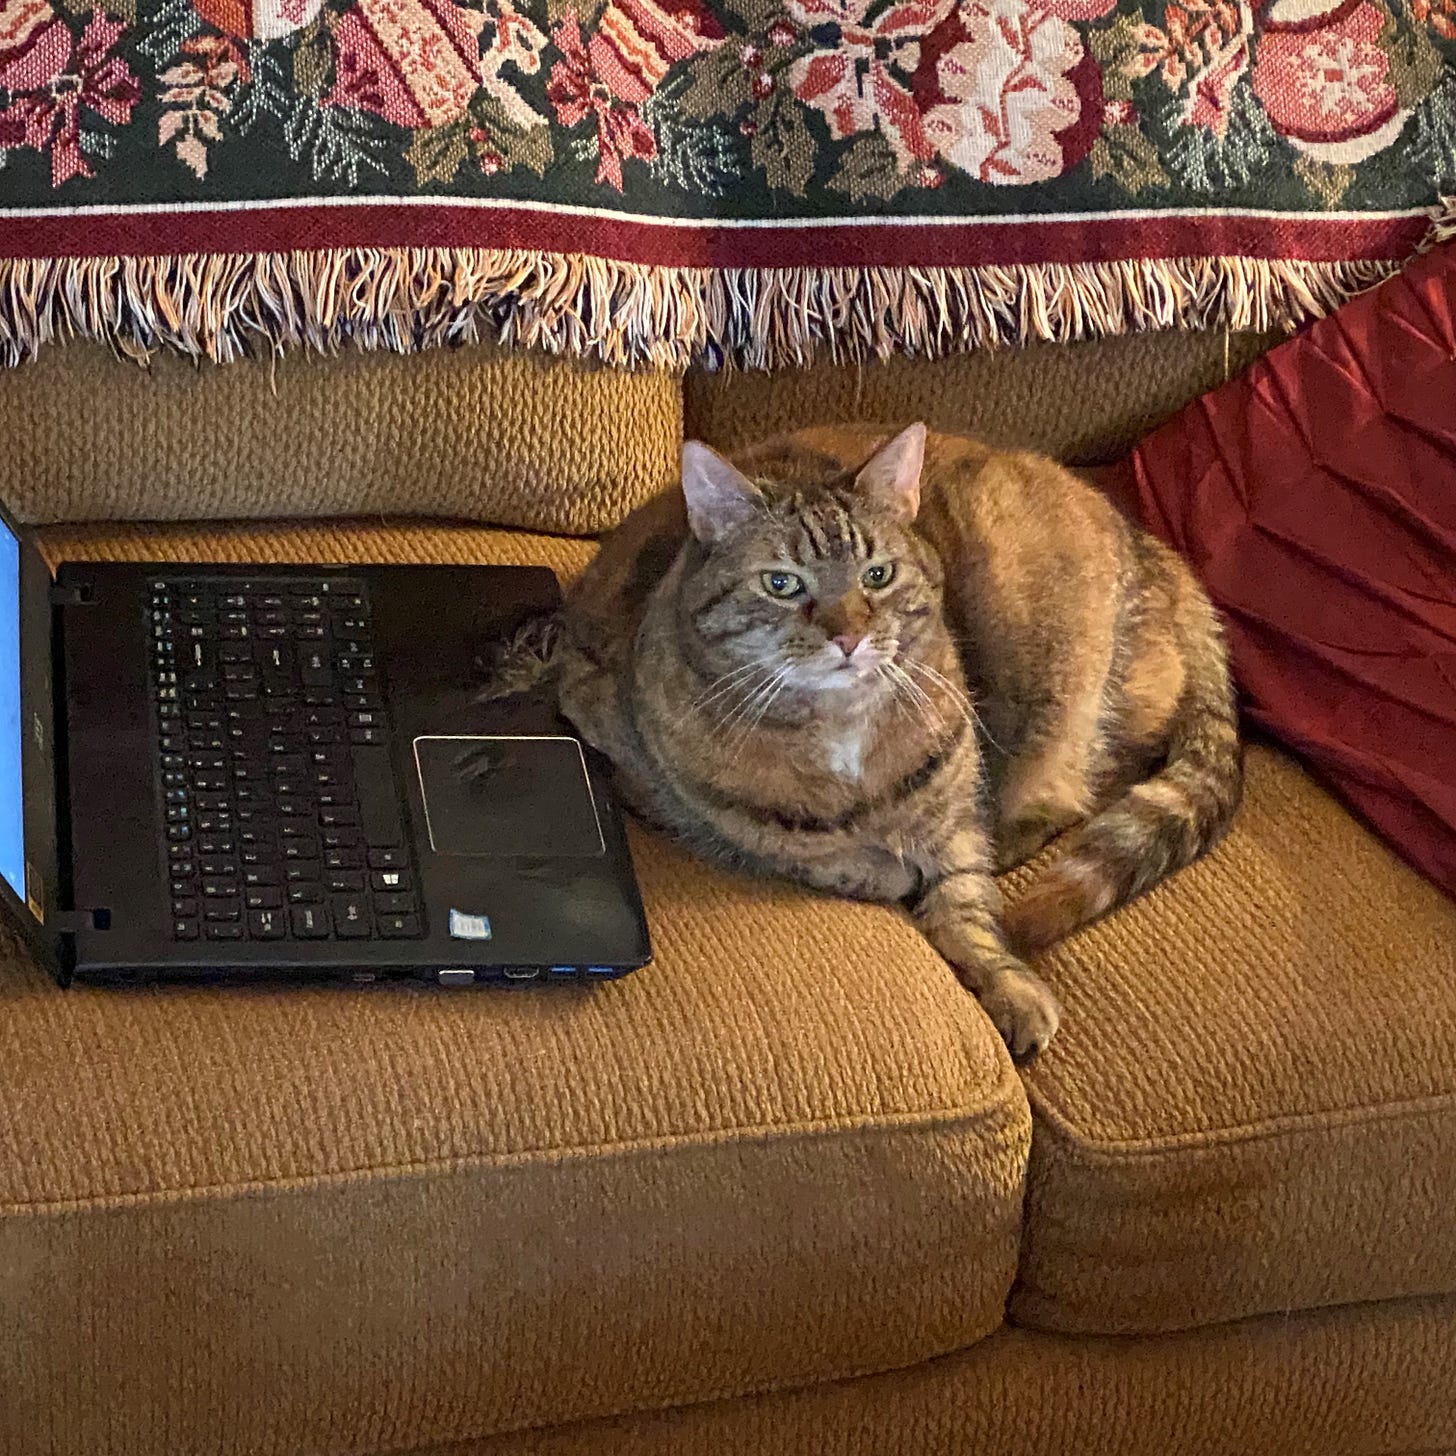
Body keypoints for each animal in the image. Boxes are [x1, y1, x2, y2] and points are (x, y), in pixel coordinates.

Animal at [535, 422, 1240, 1059]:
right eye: (781, 583)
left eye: (877, 575)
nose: (848, 636)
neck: (839, 726)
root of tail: (1158, 550)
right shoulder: (653, 777)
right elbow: (818, 853)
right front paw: (887, 871)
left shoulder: (954, 807)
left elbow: (964, 899)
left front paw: (1004, 981)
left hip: (1054, 677)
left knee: (1072, 788)